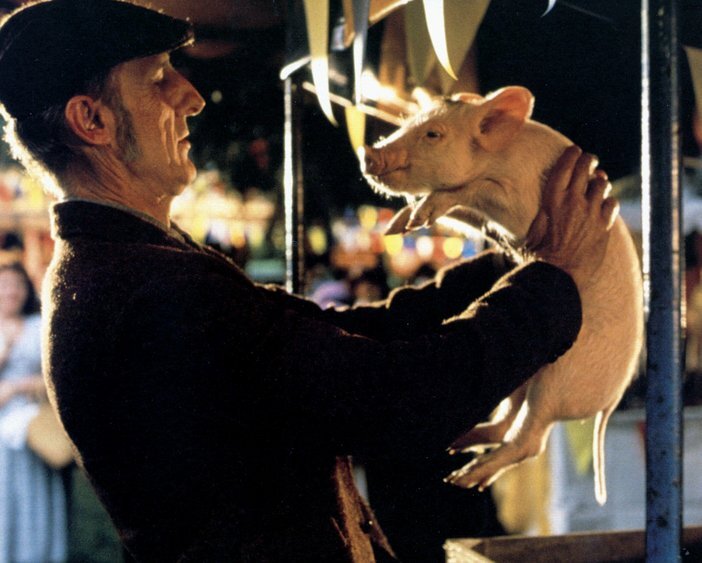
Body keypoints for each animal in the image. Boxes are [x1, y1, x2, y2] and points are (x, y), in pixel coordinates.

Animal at [361, 86, 643, 505]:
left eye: (433, 134)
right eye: (408, 123)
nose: (368, 153)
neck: (499, 158)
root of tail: (610, 402)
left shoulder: (514, 197)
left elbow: (467, 189)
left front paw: (417, 214)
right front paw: (402, 224)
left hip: (558, 380)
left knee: (530, 440)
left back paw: (462, 478)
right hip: (526, 374)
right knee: (506, 421)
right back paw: (460, 444)